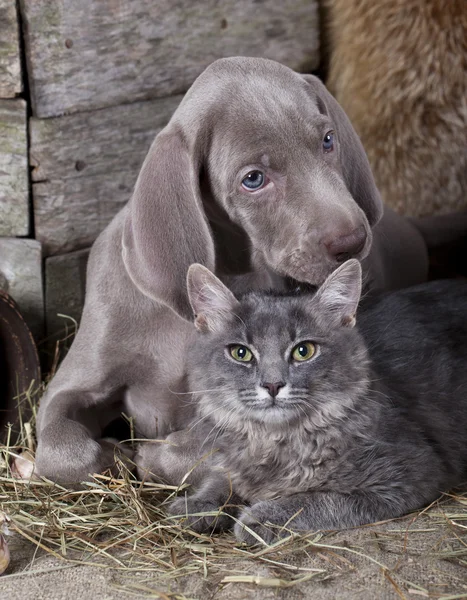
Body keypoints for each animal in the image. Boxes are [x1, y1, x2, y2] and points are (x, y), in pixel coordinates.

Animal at [34, 58, 434, 486]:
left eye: (328, 140)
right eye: (253, 179)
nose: (354, 240)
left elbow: (190, 448)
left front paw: (146, 455)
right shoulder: (70, 382)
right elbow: (60, 450)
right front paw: (108, 454)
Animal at [168, 262, 467, 544]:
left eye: (304, 351)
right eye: (241, 353)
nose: (273, 385)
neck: (274, 440)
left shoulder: (406, 474)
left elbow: (315, 500)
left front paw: (261, 516)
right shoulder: (230, 460)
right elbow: (222, 479)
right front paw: (196, 505)